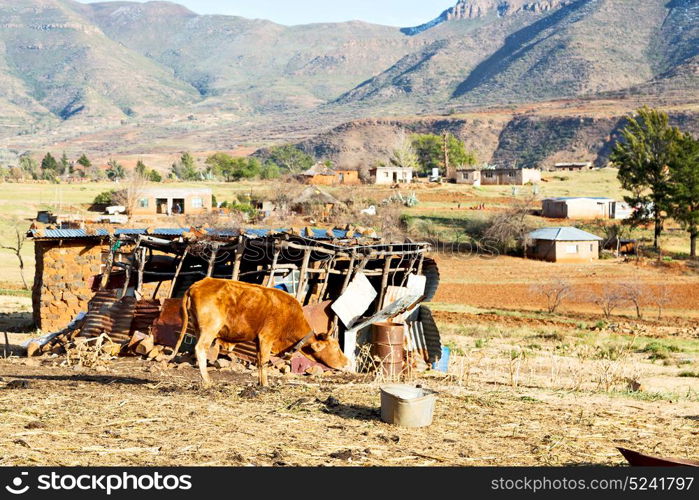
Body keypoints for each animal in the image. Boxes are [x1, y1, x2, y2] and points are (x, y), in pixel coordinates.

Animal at [172, 278, 348, 386]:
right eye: (335, 347)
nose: (347, 362)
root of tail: (199, 283)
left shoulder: (258, 340)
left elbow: (257, 360)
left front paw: (259, 383)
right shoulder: (266, 337)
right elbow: (264, 360)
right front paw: (266, 384)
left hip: (198, 327)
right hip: (210, 328)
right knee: (200, 348)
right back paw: (207, 380)